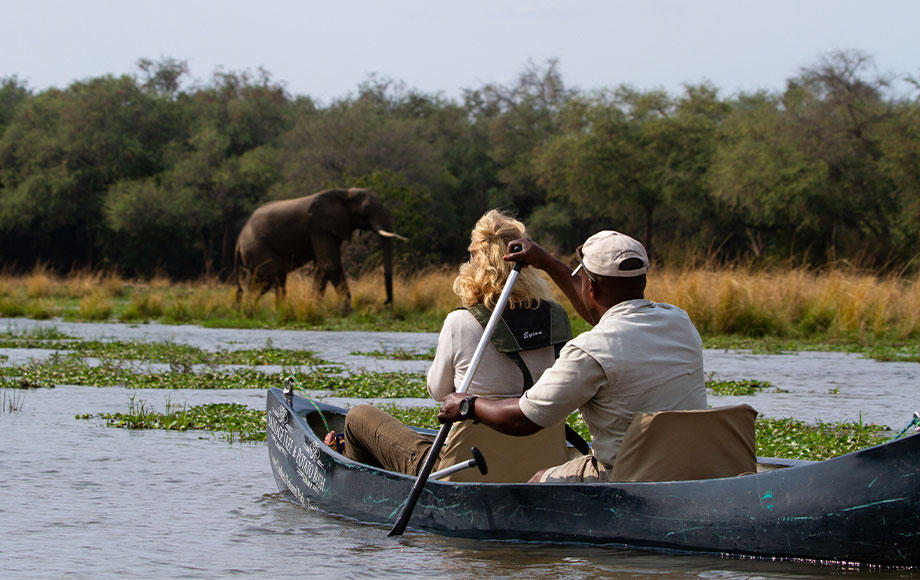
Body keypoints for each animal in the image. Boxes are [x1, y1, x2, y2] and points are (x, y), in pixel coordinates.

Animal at [235, 188, 408, 310]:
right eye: (365, 210)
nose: (386, 303)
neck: (344, 192)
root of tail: (238, 240)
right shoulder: (319, 226)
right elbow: (330, 264)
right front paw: (349, 312)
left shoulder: (332, 227)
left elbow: (322, 267)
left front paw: (315, 307)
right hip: (257, 246)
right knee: (268, 279)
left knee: (263, 280)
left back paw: (256, 310)